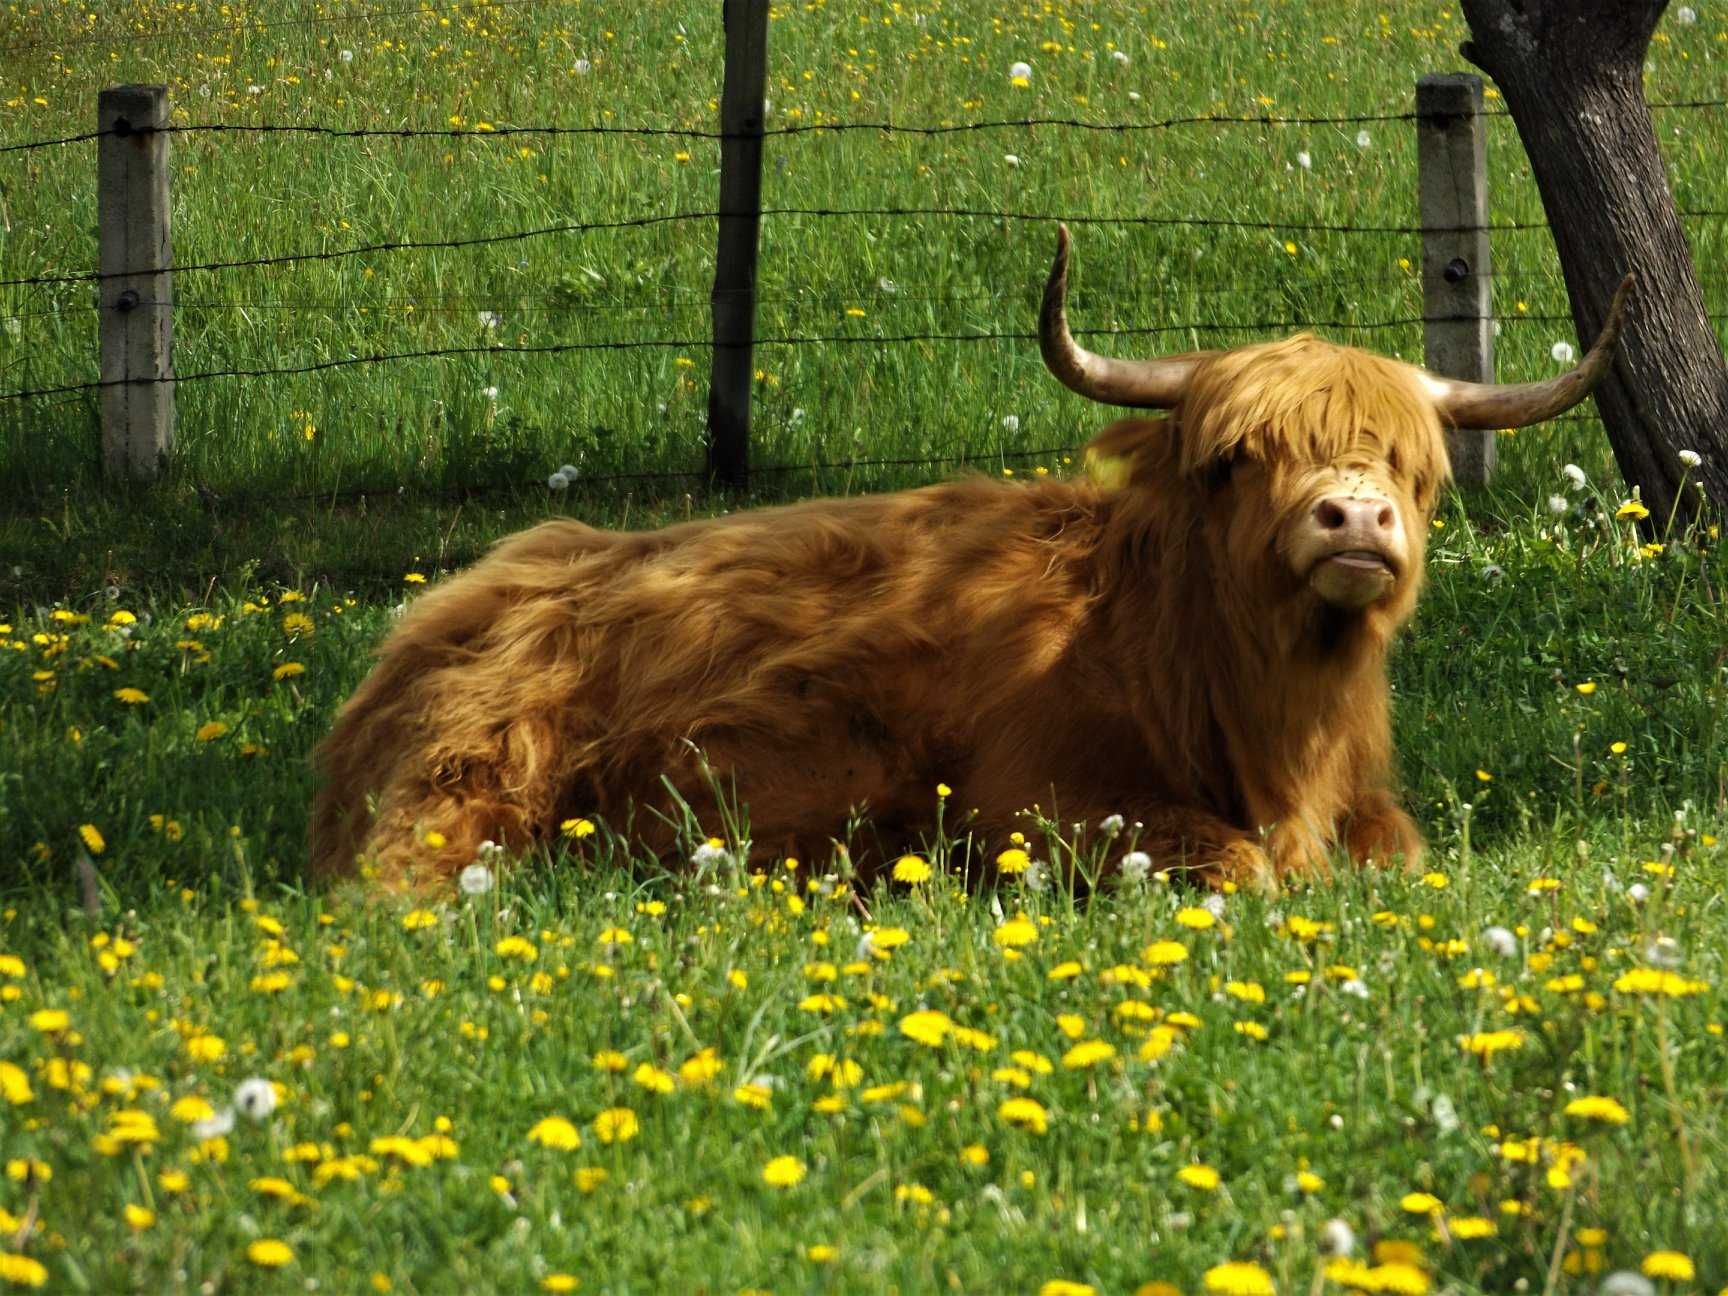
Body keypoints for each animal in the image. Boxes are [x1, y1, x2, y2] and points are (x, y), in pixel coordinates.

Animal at [307, 228, 1617, 891]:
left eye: (1410, 470)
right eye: (1235, 461)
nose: (1351, 519)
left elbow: (1397, 857)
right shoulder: (1040, 801)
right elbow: (1236, 861)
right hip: (468, 783)